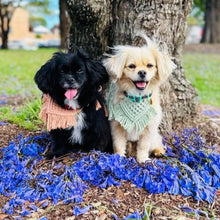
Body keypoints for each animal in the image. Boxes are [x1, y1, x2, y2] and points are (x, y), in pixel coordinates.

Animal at [103, 35, 177, 163]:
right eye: (132, 66)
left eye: (150, 65)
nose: (142, 72)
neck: (137, 97)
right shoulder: (117, 127)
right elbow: (118, 145)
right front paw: (119, 158)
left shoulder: (148, 129)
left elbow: (143, 146)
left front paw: (143, 160)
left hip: (154, 136)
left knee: (157, 143)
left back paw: (159, 152)